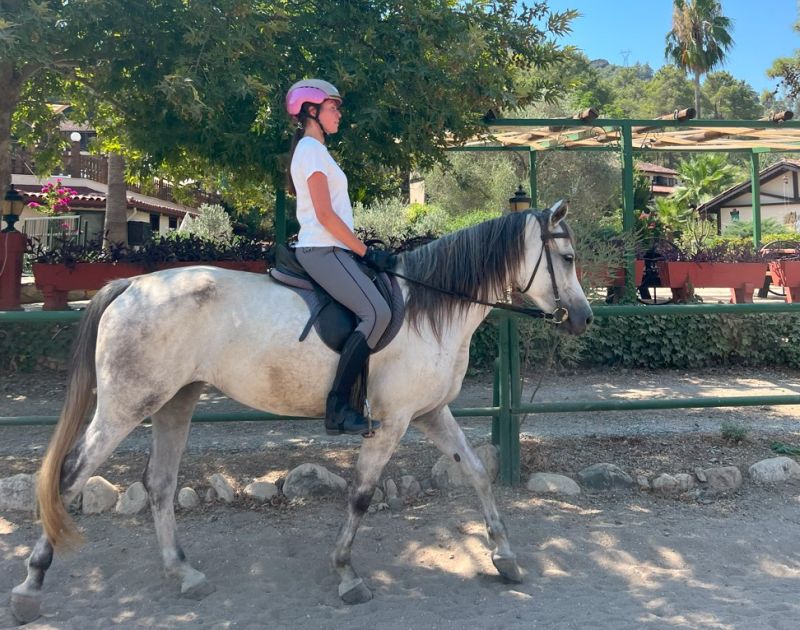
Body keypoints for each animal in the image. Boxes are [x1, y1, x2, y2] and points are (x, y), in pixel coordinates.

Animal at [7, 201, 592, 624]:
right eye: (566, 260)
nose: (583, 318)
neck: (431, 309)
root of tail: (132, 284)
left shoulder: (429, 412)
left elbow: (476, 473)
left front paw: (506, 558)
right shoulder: (392, 422)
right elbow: (360, 495)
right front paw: (347, 574)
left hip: (175, 402)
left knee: (159, 484)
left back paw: (184, 573)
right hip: (127, 406)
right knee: (69, 476)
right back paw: (30, 587)